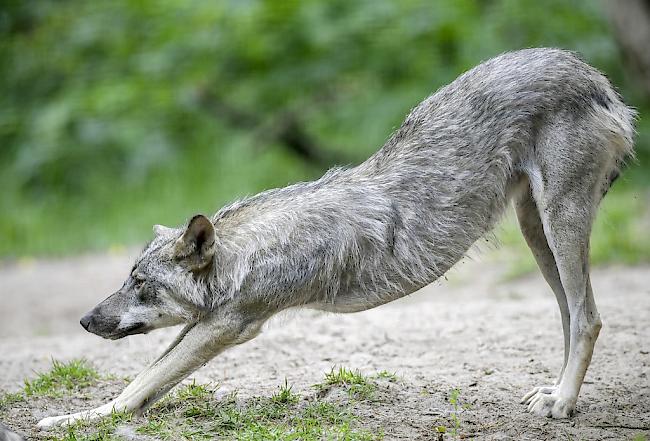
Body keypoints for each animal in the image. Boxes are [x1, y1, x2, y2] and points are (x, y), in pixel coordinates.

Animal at [36, 47, 632, 426]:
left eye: (142, 285)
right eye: (127, 279)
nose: (85, 320)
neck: (252, 253)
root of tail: (596, 77)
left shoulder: (230, 325)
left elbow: (138, 385)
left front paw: (74, 421)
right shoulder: (207, 322)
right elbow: (142, 382)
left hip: (559, 223)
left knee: (589, 317)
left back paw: (561, 403)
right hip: (537, 232)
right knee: (569, 314)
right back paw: (557, 395)